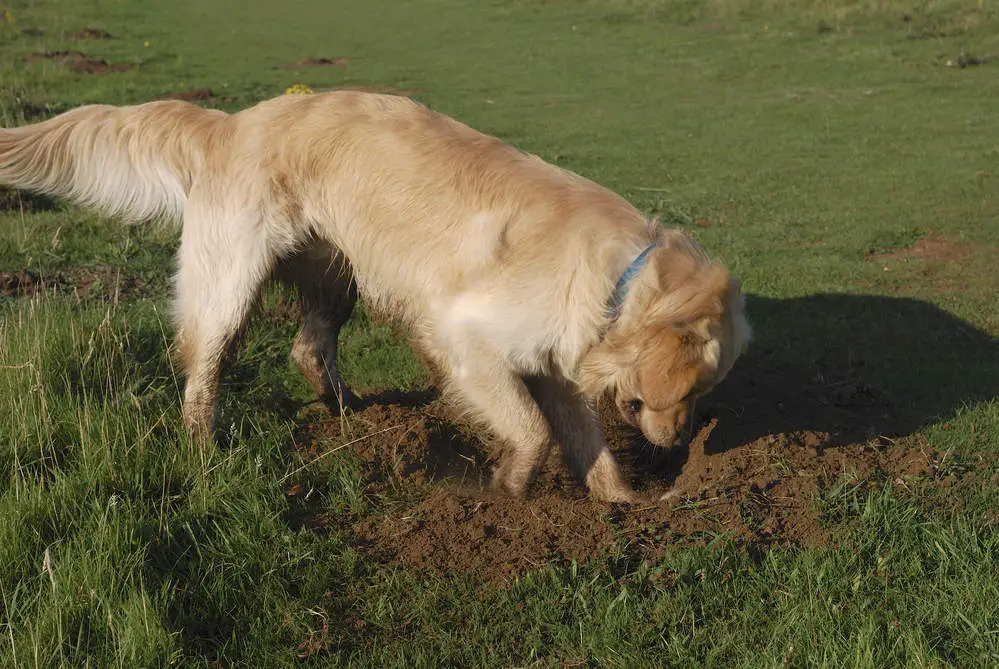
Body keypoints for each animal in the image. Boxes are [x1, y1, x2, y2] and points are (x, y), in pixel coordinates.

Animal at [0, 92, 752, 500]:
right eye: (689, 390)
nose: (679, 442)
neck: (621, 279)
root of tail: (231, 123)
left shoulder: (556, 365)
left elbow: (583, 438)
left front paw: (624, 502)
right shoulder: (464, 339)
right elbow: (533, 431)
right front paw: (508, 489)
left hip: (338, 276)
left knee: (308, 350)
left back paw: (351, 417)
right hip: (230, 284)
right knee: (201, 372)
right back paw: (205, 450)